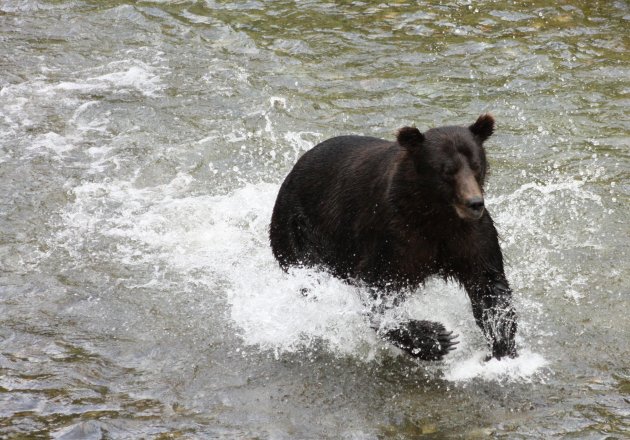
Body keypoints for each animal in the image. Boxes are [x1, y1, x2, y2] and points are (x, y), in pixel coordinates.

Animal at [268, 114, 520, 360]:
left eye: (476, 165)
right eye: (447, 170)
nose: (474, 203)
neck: (435, 213)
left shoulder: (468, 235)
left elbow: (489, 285)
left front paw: (503, 344)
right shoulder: (394, 232)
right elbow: (378, 286)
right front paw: (436, 338)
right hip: (299, 229)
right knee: (310, 276)